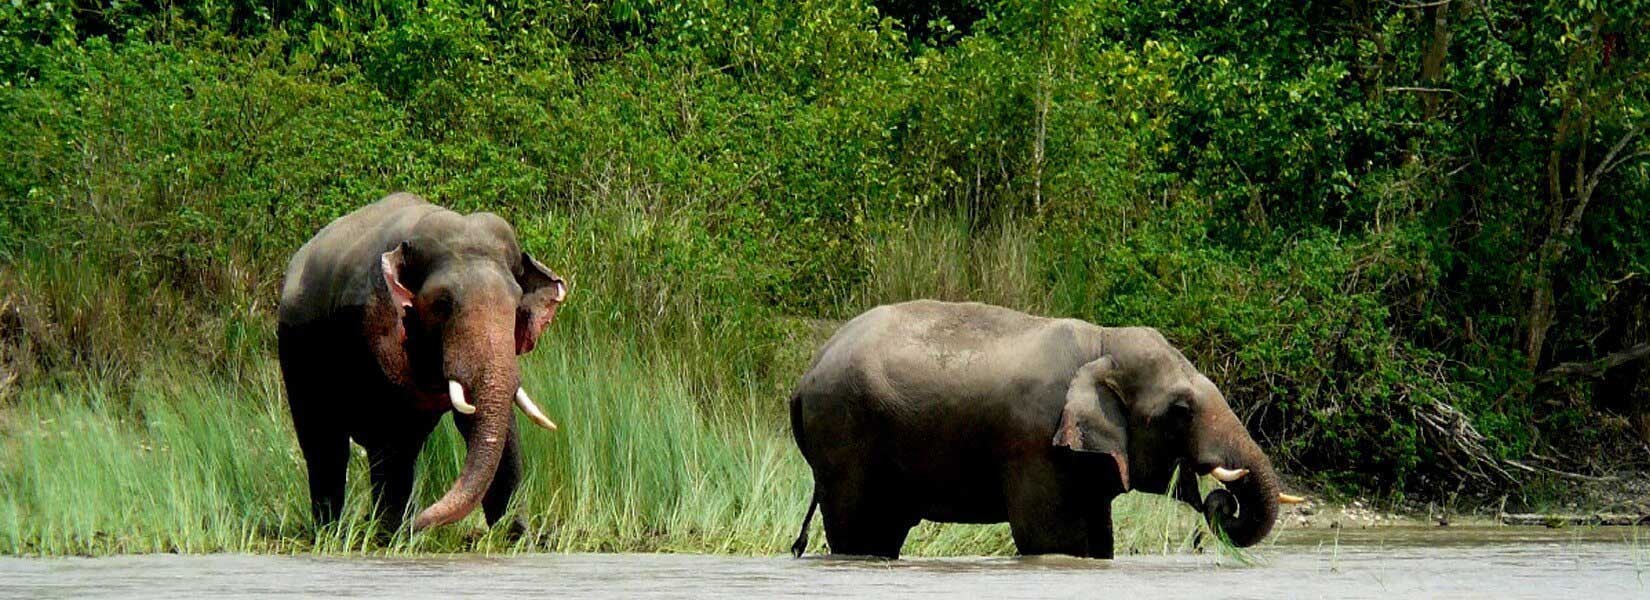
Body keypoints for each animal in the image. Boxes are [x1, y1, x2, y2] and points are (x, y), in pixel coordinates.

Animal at [277, 191, 567, 530]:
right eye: (442, 304)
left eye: (516, 303)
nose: (420, 522)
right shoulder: (374, 331)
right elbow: (388, 438)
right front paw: (394, 532)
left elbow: (499, 431)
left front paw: (517, 536)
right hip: (295, 353)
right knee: (326, 444)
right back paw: (334, 530)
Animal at [785, 300, 1300, 557]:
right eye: (1180, 410)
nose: (1221, 503)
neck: (1101, 341)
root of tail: (804, 377)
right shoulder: (1035, 444)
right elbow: (1054, 541)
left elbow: (1098, 541)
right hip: (845, 438)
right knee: (862, 533)